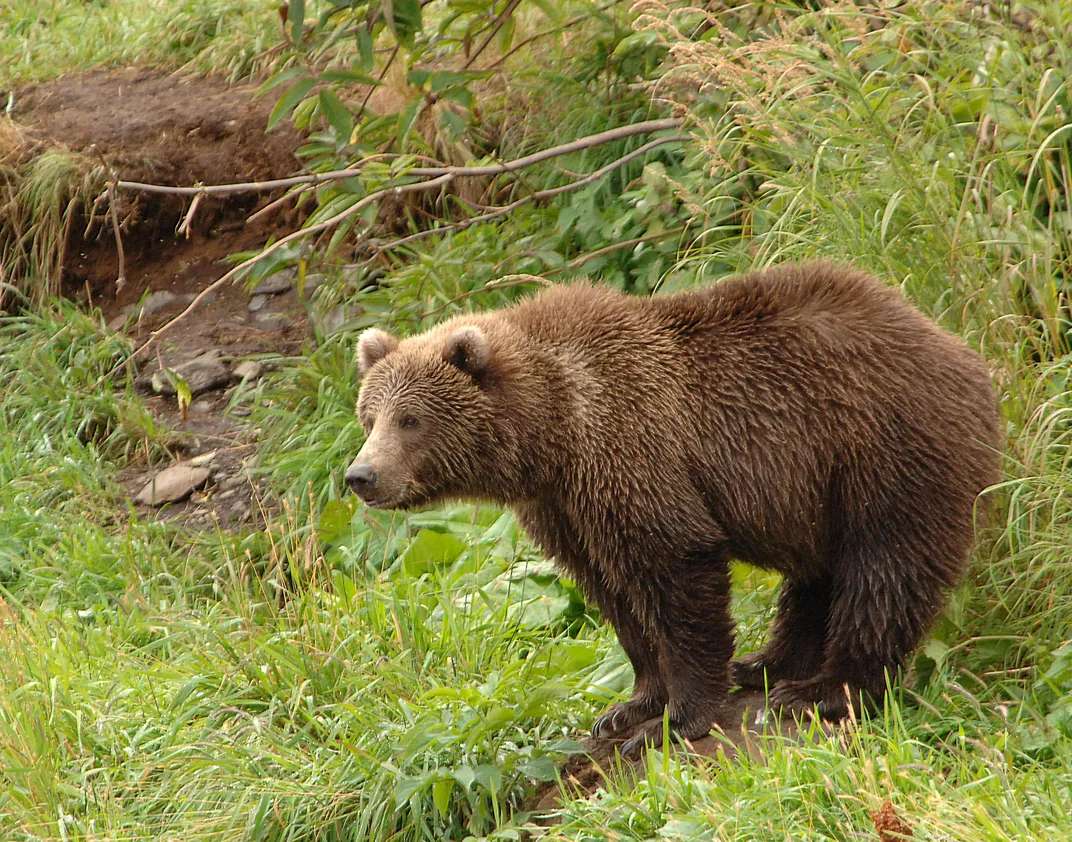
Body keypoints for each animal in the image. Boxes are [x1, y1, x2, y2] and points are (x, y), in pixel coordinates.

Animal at [347, 259, 999, 750]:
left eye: (410, 419)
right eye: (369, 415)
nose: (361, 475)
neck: (555, 432)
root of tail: (963, 352)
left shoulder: (634, 449)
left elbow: (675, 570)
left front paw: (676, 718)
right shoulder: (566, 506)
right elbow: (613, 593)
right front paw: (631, 705)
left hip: (884, 449)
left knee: (884, 570)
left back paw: (822, 690)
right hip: (818, 487)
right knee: (819, 573)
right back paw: (767, 664)